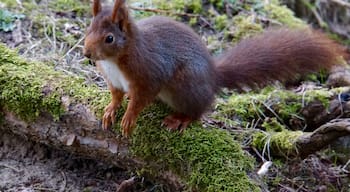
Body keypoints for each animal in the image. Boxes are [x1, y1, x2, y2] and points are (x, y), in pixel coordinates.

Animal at [83, 0, 346, 136]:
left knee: (200, 109)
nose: (86, 54)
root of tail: (213, 77)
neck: (115, 60)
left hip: (185, 87)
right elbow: (117, 95)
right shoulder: (114, 80)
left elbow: (140, 100)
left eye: (109, 38)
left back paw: (181, 119)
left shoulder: (150, 74)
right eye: (88, 29)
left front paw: (129, 118)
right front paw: (111, 110)